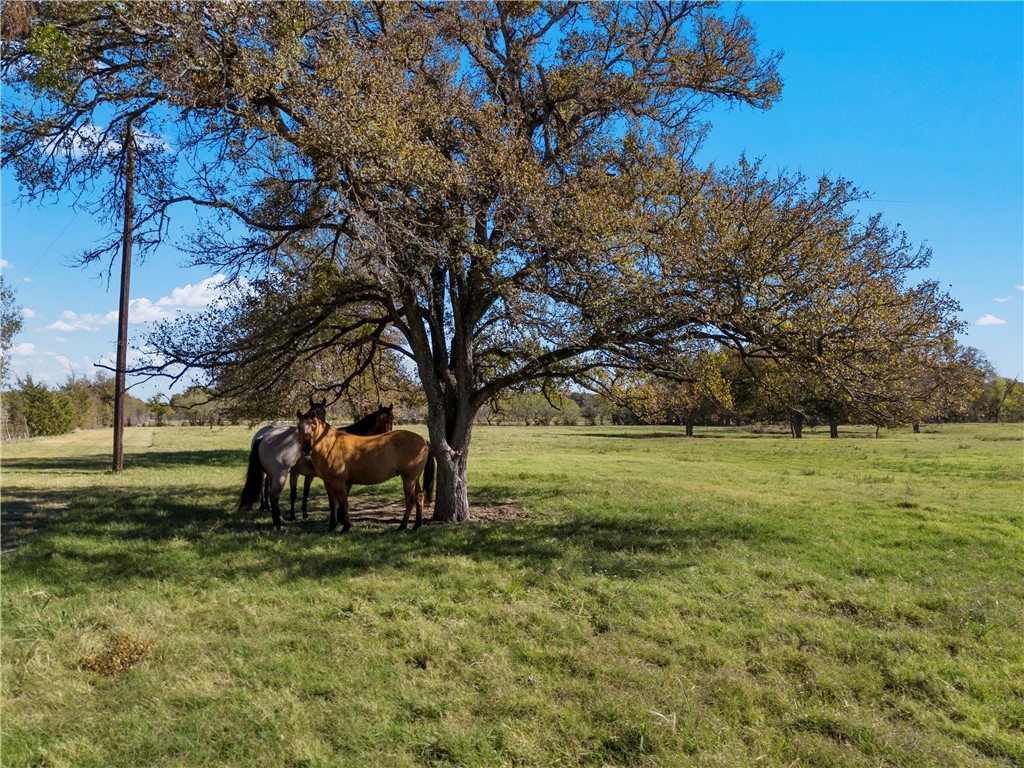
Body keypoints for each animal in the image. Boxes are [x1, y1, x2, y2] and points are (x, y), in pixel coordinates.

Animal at [239, 399, 395, 528]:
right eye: (380, 419)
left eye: (392, 418)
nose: (388, 435)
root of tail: (264, 435)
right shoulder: (343, 480)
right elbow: (341, 498)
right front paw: (340, 520)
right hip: (280, 475)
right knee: (273, 495)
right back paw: (278, 523)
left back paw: (278, 518)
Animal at [299, 409, 438, 536]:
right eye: (299, 428)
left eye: (313, 427)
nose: (306, 448)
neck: (330, 445)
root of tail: (424, 441)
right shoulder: (328, 483)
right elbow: (333, 504)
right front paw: (332, 526)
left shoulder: (339, 482)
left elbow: (344, 503)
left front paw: (346, 526)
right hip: (414, 478)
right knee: (419, 497)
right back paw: (416, 525)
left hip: (409, 478)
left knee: (410, 500)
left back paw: (402, 526)